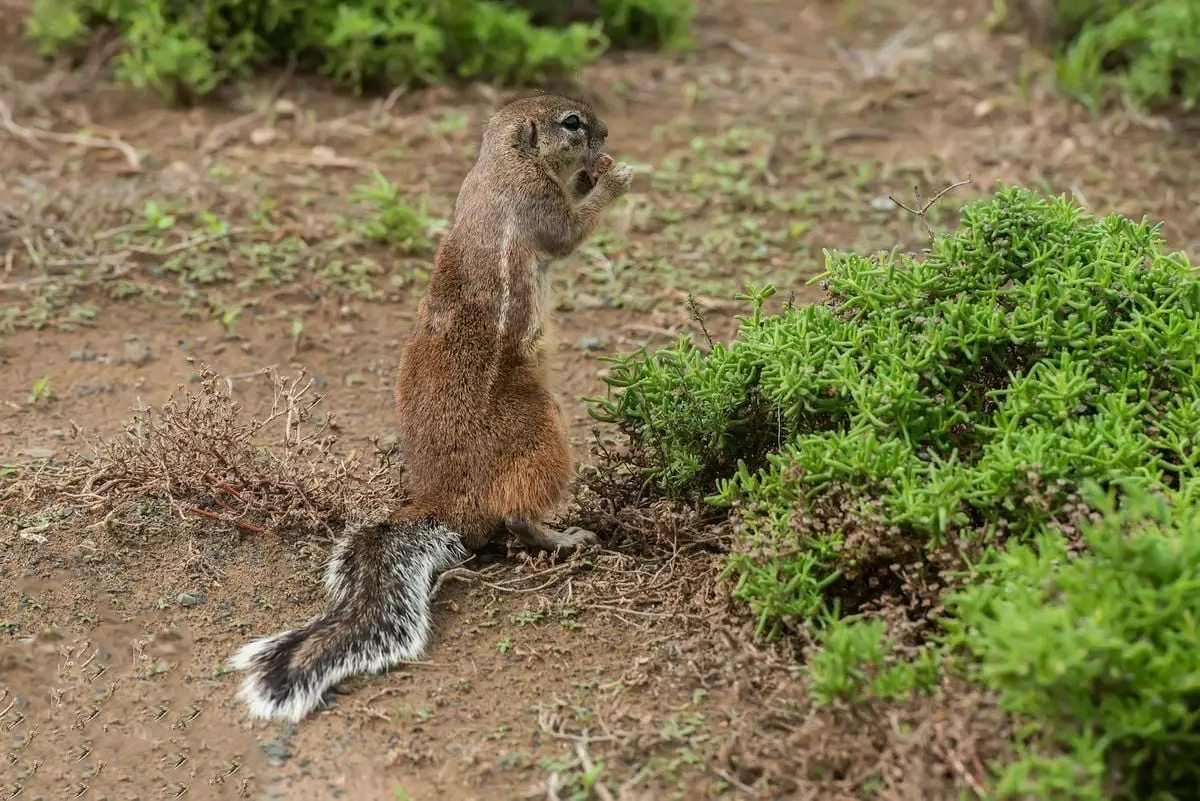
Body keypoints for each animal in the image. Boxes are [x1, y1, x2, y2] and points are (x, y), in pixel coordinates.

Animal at [229, 94, 633, 722]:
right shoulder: (537, 207)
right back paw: (565, 538)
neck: (502, 164)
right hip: (544, 430)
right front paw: (611, 175)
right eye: (572, 123)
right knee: (516, 517)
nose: (608, 133)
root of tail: (442, 501)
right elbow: (569, 232)